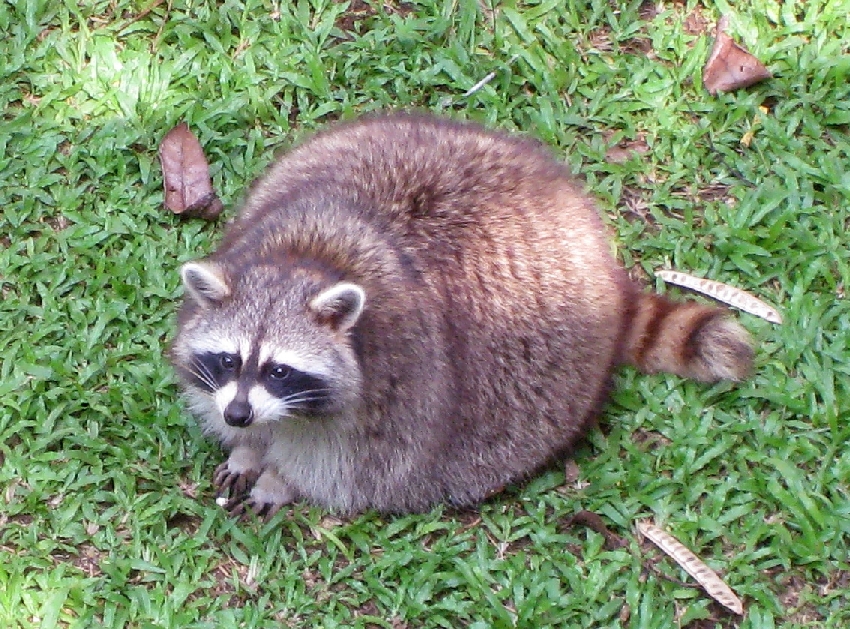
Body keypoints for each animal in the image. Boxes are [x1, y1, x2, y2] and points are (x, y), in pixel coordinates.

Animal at [169, 113, 752, 516]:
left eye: (279, 370)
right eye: (228, 360)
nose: (238, 416)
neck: (309, 260)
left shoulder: (400, 386)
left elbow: (345, 464)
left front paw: (281, 479)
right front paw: (248, 450)